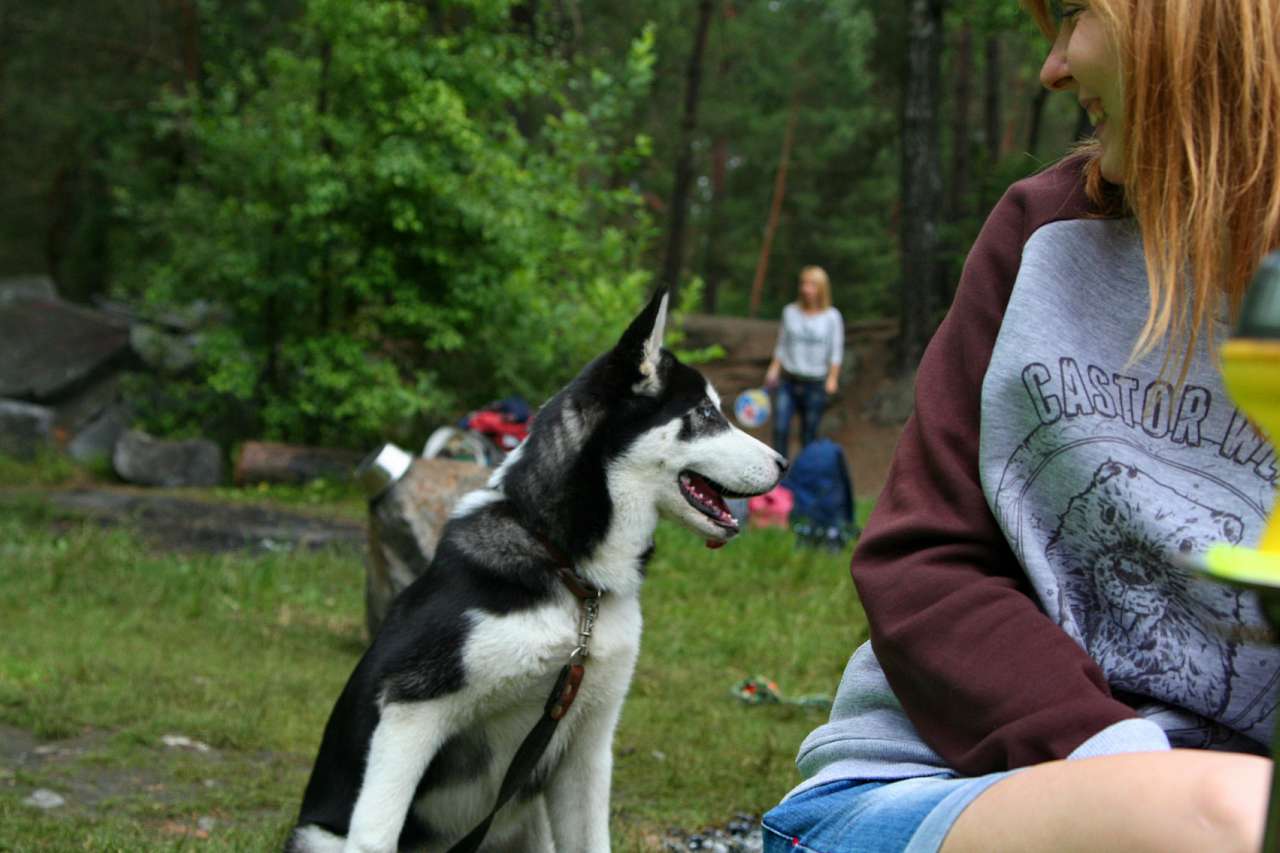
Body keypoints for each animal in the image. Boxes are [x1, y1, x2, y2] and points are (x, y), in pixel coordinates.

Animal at [289, 286, 783, 850]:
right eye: (704, 413)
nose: (784, 463)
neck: (573, 578)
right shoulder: (410, 710)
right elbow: (376, 834)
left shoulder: (585, 746)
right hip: (320, 834)